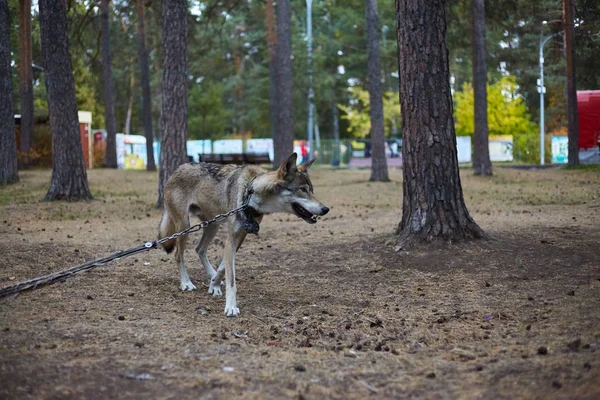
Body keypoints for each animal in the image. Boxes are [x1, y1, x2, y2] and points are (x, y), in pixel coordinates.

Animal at [158, 152, 328, 316]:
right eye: (303, 190)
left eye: (312, 190)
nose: (326, 209)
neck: (250, 192)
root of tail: (177, 169)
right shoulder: (231, 239)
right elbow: (231, 279)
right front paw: (231, 307)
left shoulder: (240, 237)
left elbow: (223, 268)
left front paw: (215, 284)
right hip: (185, 226)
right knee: (178, 254)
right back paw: (186, 283)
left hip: (212, 225)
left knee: (199, 249)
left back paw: (210, 275)